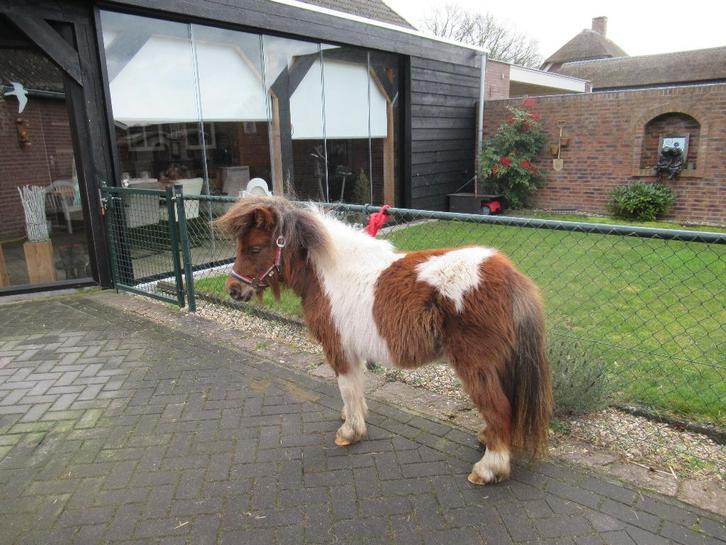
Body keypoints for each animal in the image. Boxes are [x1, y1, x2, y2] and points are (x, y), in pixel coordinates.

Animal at [215, 196, 552, 485]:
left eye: (255, 249)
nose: (233, 289)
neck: (330, 274)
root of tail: (511, 277)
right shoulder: (354, 350)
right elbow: (356, 388)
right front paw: (354, 416)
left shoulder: (339, 349)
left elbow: (347, 387)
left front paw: (350, 431)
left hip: (474, 365)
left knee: (498, 408)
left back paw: (488, 469)